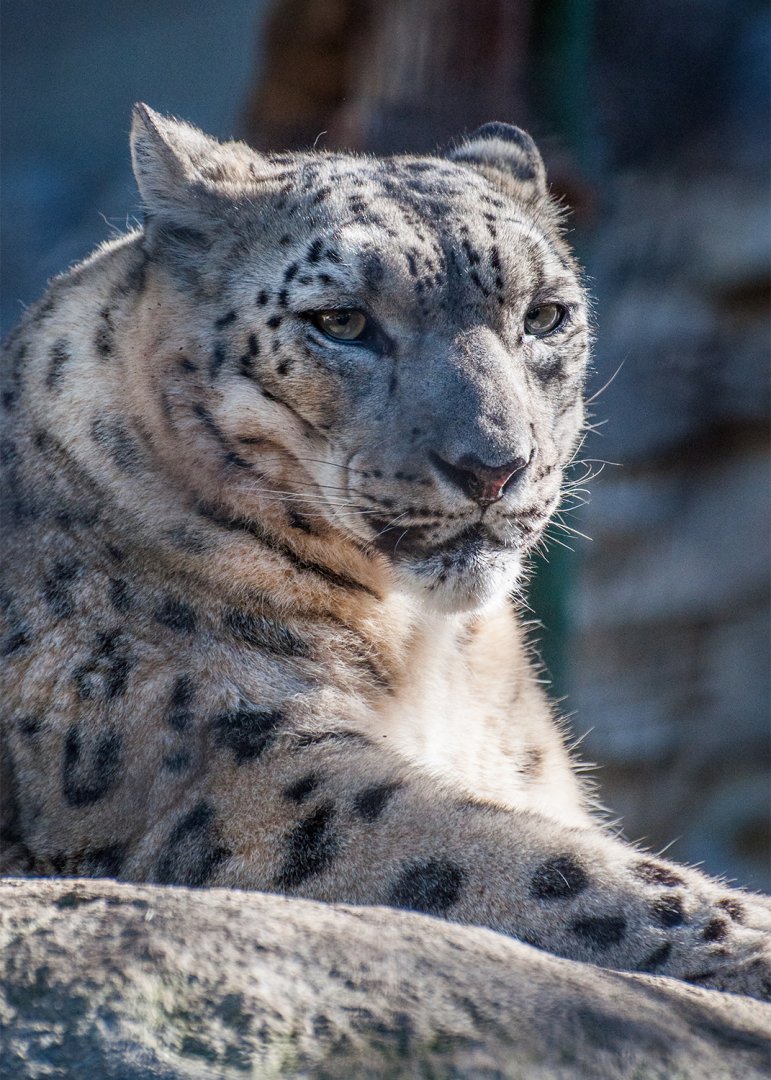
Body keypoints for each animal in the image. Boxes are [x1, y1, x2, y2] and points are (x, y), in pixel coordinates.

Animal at [1, 104, 769, 1004]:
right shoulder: (246, 780)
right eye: (339, 321)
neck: (425, 649)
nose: (494, 466)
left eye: (544, 316)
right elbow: (550, 871)